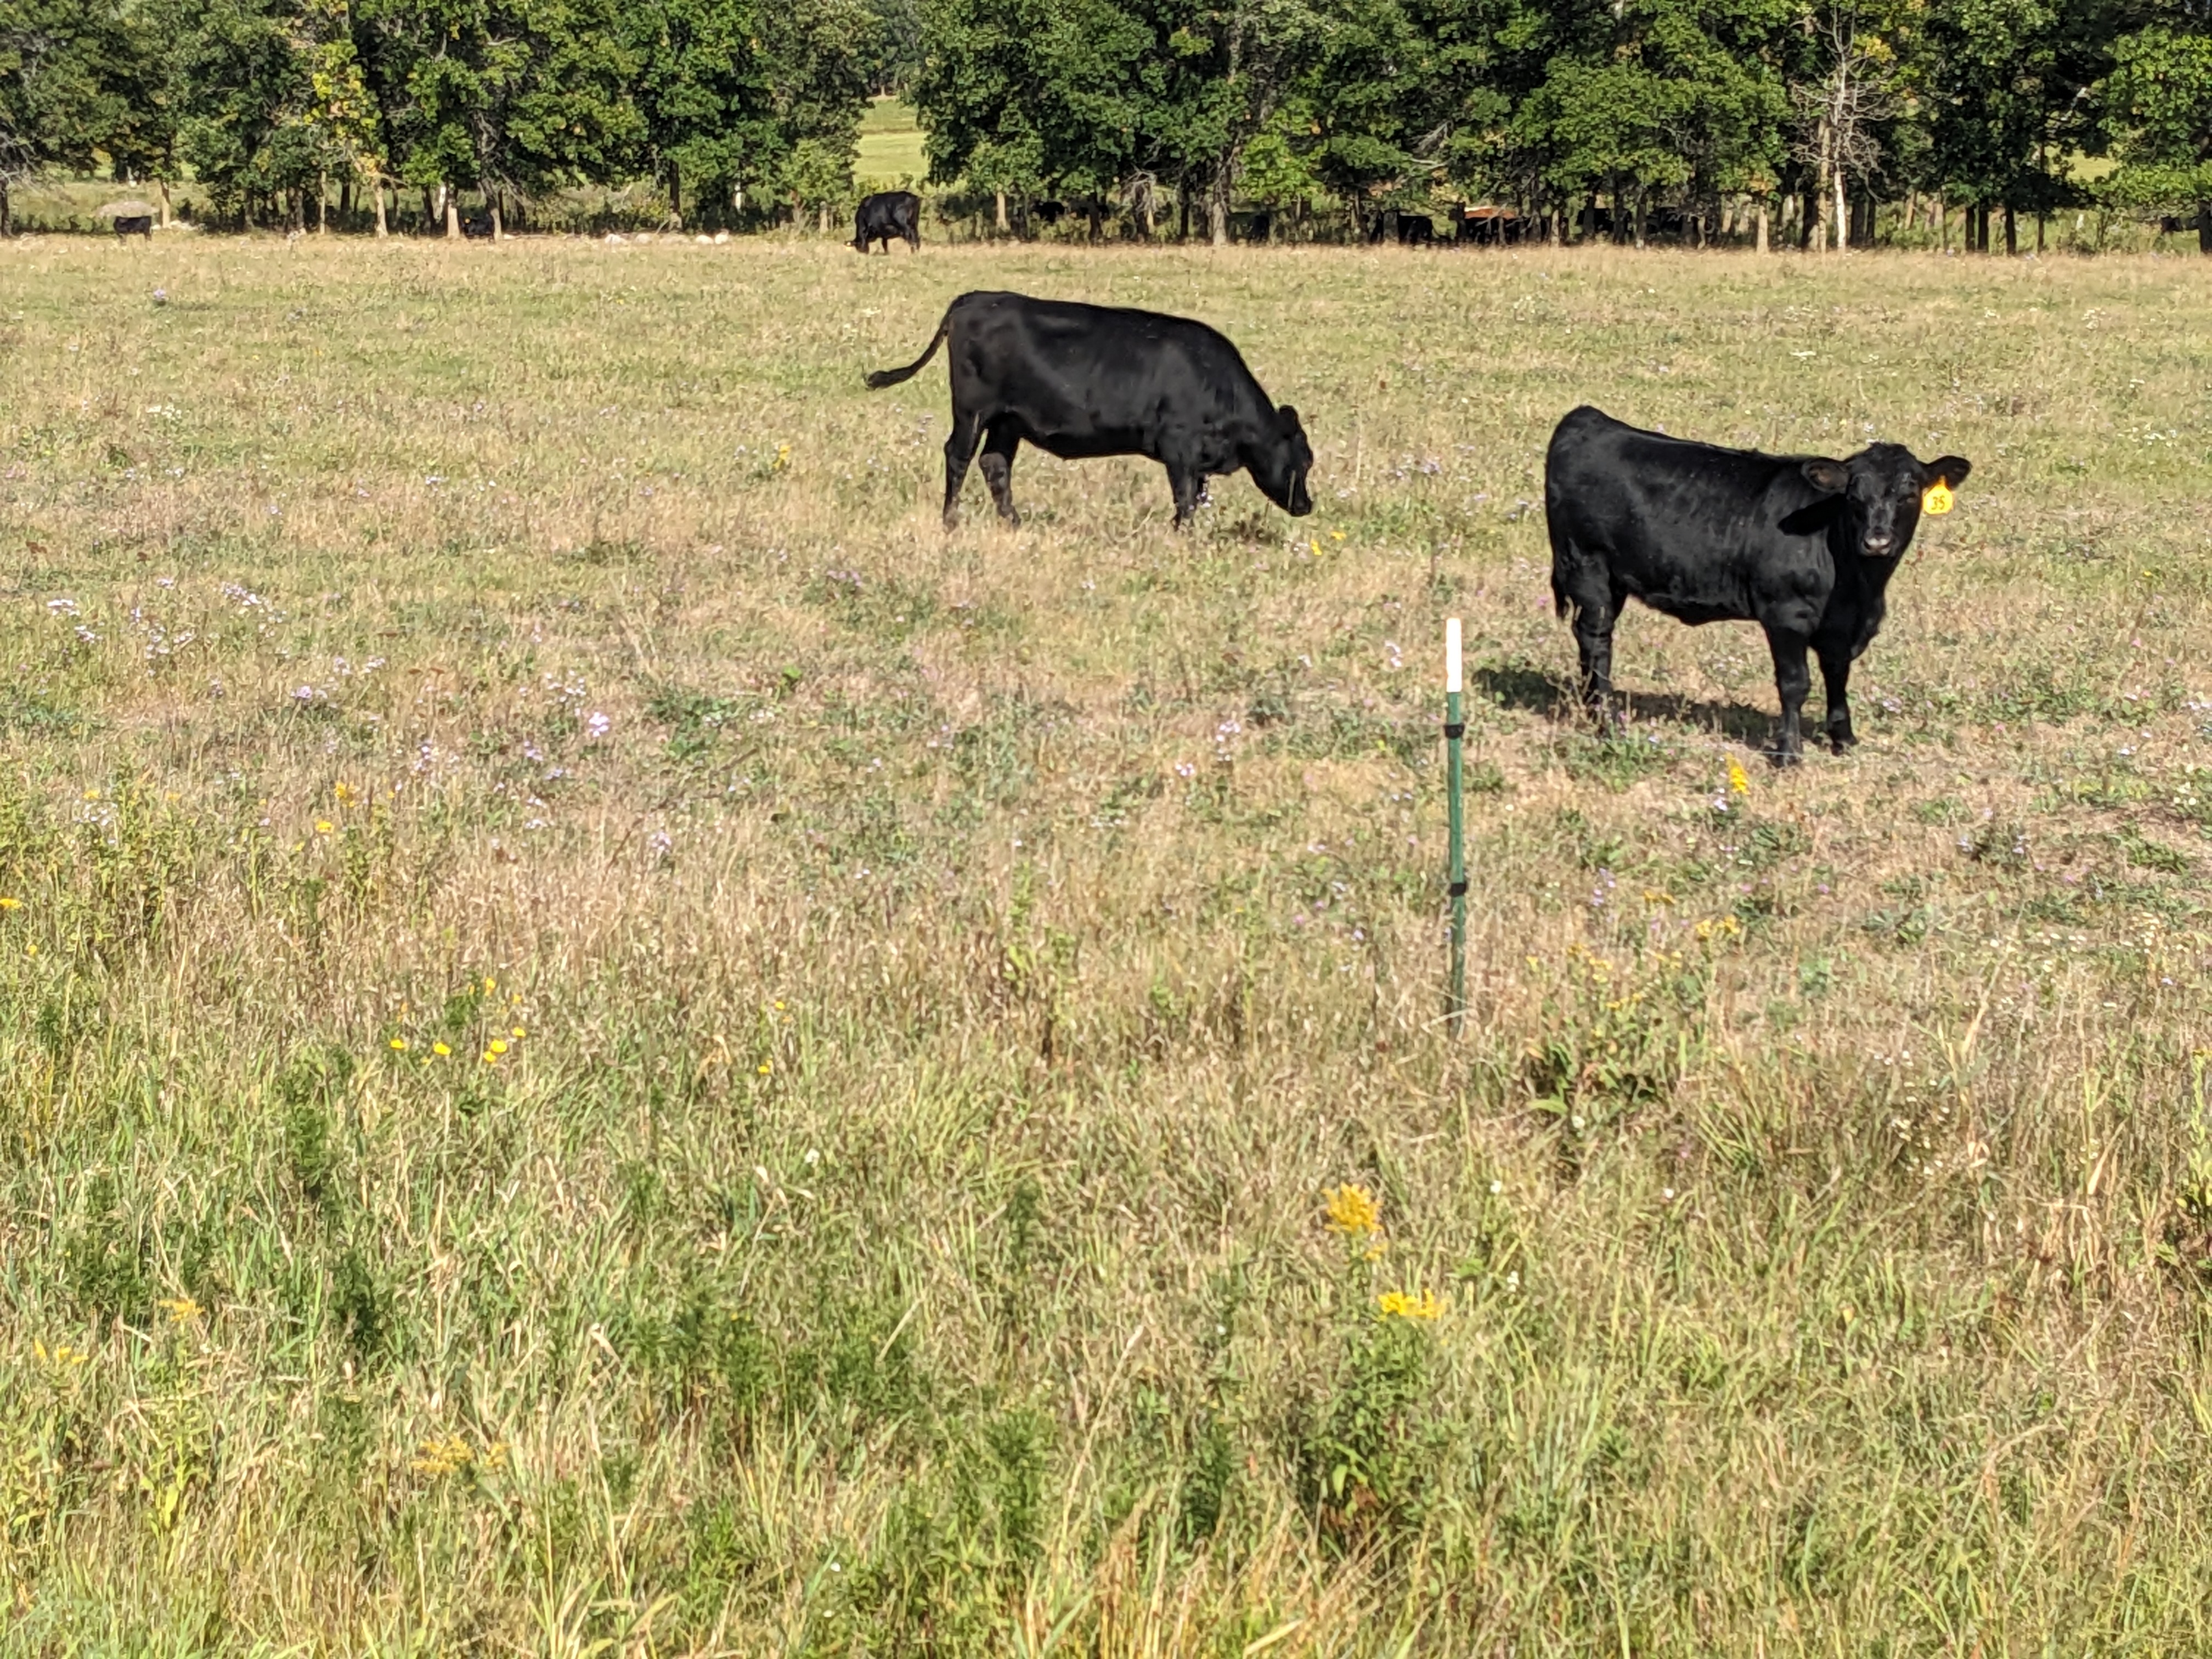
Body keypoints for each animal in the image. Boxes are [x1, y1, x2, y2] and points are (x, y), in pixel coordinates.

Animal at [864, 290, 1315, 530]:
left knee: (995, 464)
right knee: (958, 457)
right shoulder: (1179, 448)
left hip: (1009, 420)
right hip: (973, 411)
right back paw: (951, 521)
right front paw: (1180, 535)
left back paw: (1015, 522)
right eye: (1304, 460)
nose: (1307, 505)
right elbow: (1185, 499)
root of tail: (975, 299)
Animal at [1545, 406, 1970, 762]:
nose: (1877, 541)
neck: (1859, 586)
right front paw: (1789, 753)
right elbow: (1795, 683)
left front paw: (1844, 738)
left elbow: (1838, 674)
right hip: (1587, 566)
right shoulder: (1786, 615)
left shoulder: (1842, 627)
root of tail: (1589, 418)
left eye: (1909, 494)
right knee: (1597, 639)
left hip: (1612, 578)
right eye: (1854, 495)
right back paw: (1606, 721)